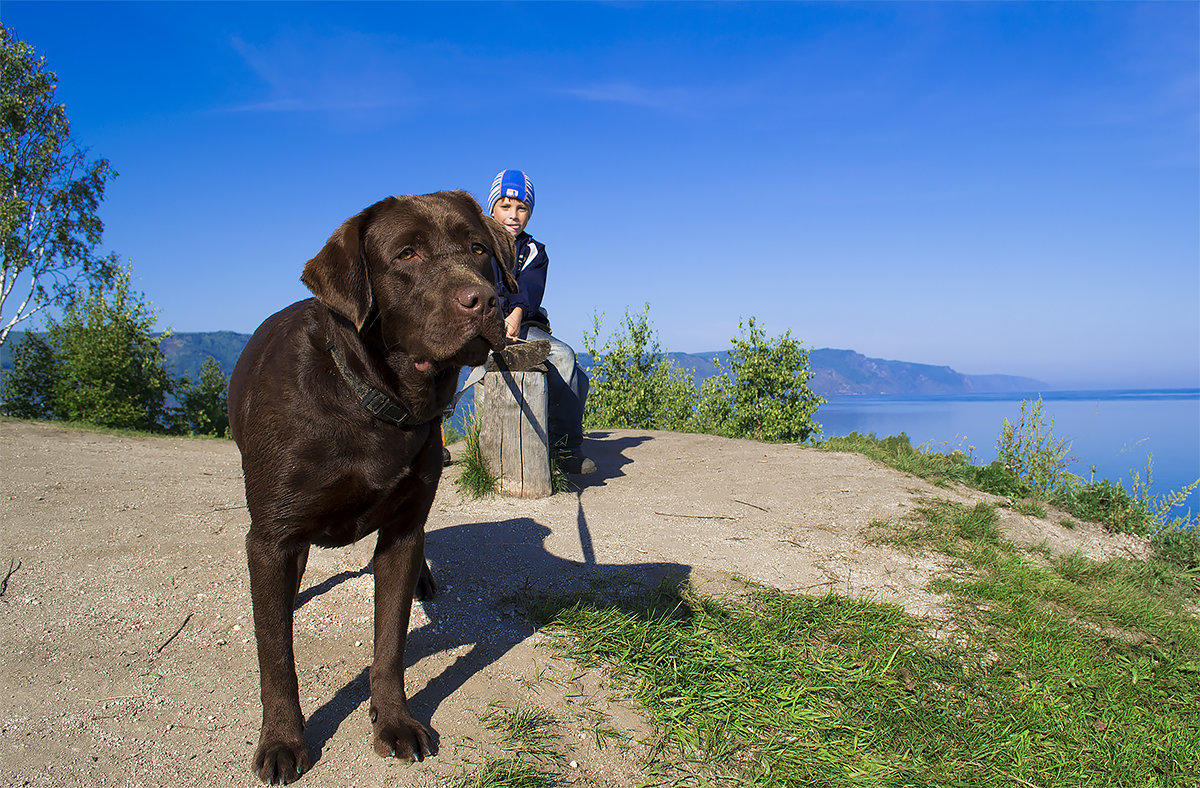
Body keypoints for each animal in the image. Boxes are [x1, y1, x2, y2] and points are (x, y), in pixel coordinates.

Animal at [229, 189, 516, 782]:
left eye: (478, 248)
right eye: (406, 254)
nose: (484, 302)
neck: (374, 404)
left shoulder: (402, 532)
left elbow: (390, 644)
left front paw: (395, 720)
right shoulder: (271, 537)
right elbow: (276, 657)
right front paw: (282, 739)